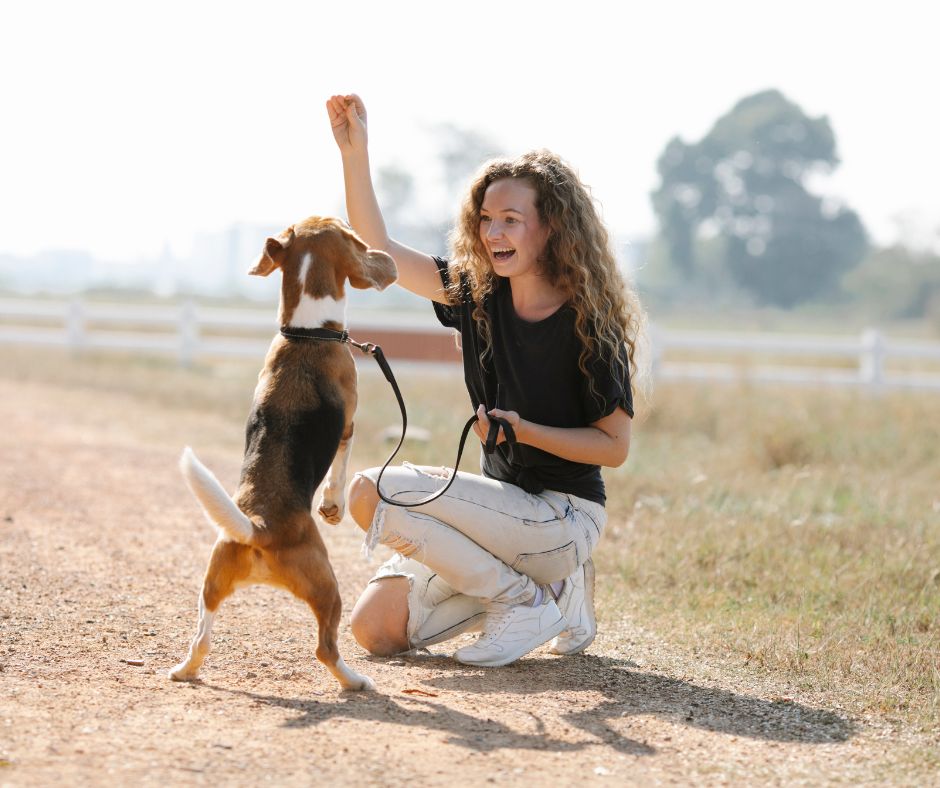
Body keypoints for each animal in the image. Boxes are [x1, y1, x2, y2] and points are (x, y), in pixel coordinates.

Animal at [169, 214, 396, 688]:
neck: (306, 333)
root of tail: (259, 527)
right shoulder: (349, 424)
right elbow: (340, 470)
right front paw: (332, 506)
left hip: (210, 583)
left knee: (201, 638)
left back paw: (184, 670)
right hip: (328, 587)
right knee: (325, 648)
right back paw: (355, 681)